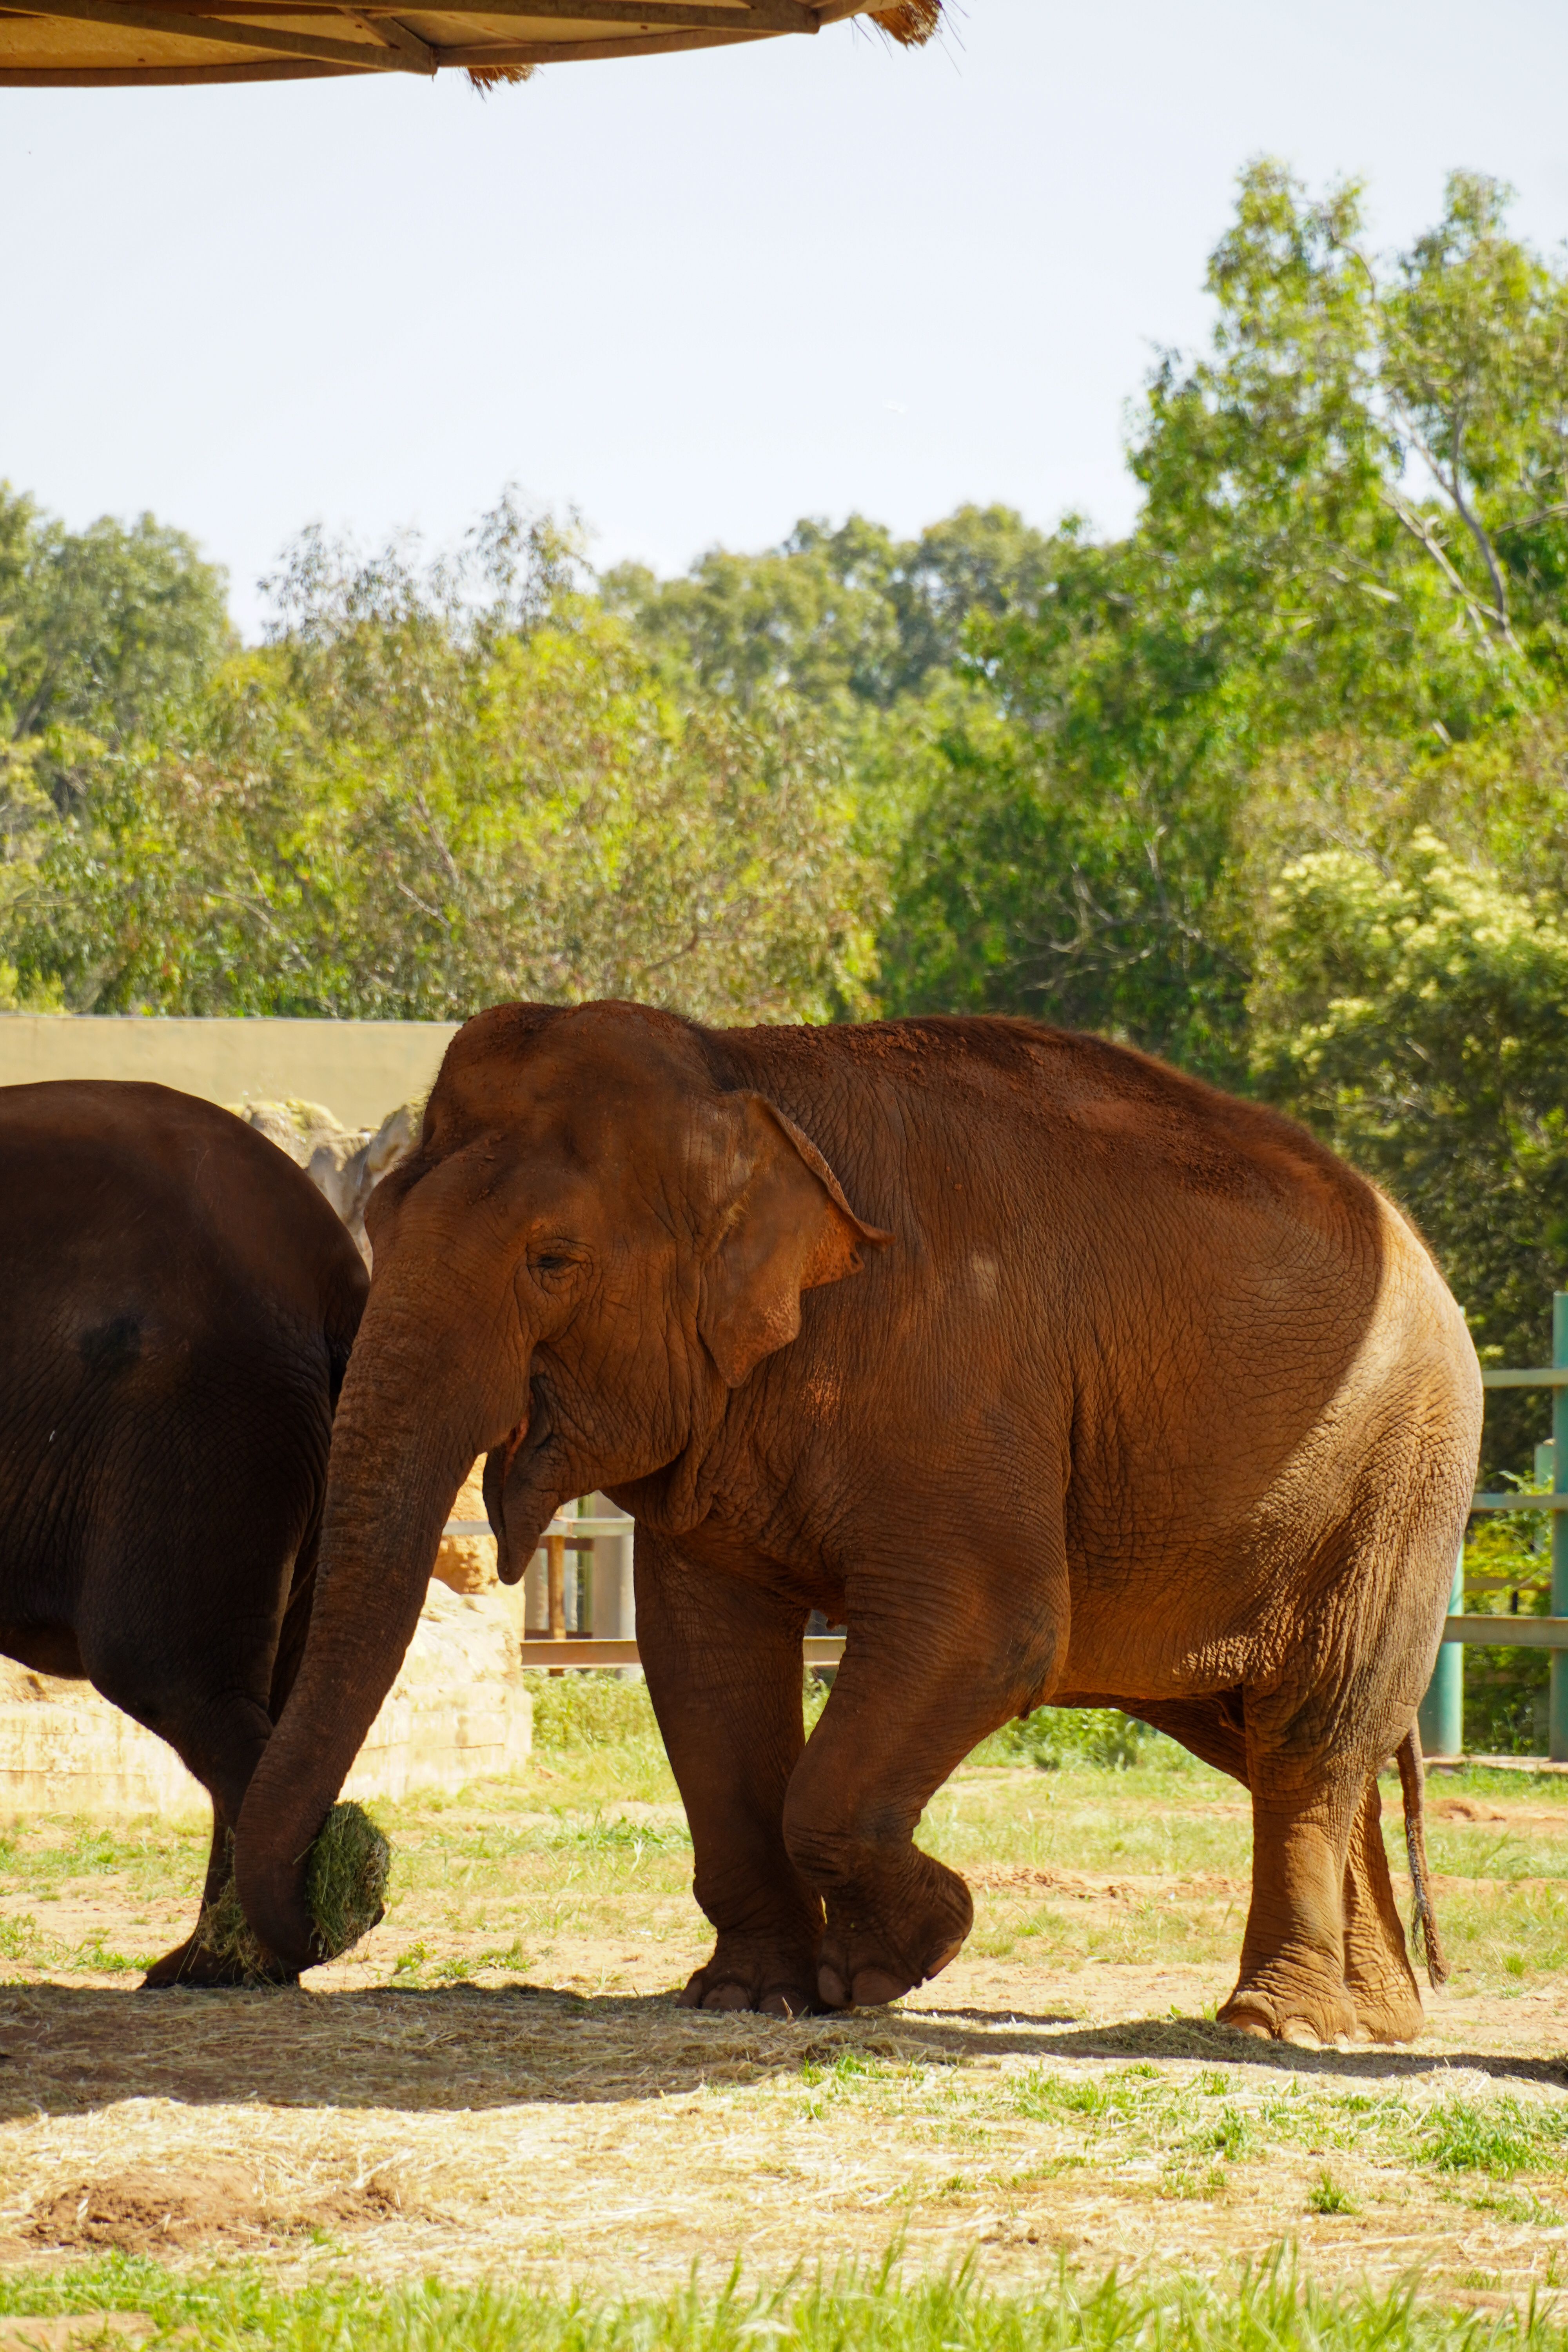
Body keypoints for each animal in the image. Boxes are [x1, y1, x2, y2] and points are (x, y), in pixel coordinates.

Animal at [237, 1001, 1480, 2045]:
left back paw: (1280, 2027)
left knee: (1313, 1730)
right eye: (379, 1221)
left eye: (553, 1260)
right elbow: (703, 1661)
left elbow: (989, 1637)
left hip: (1398, 1481)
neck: (744, 1070)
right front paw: (750, 1995)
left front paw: (895, 1960)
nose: (349, 1872)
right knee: (1267, 1737)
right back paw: (1377, 2025)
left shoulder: (961, 1379)